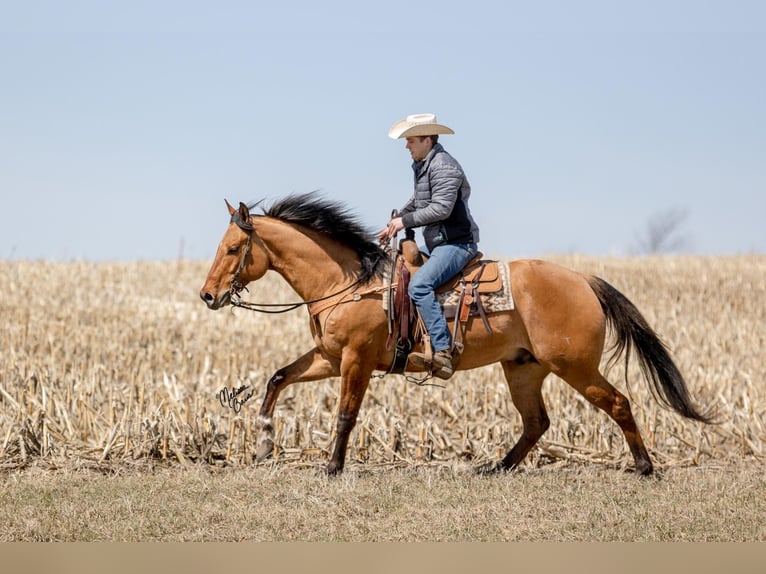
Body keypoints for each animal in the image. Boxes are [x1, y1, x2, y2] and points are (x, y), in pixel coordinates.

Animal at [200, 194, 712, 476]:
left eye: (234, 248)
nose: (207, 295)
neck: (350, 282)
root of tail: (584, 280)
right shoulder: (329, 356)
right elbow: (277, 378)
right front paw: (264, 443)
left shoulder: (356, 360)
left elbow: (346, 415)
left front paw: (331, 467)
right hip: (524, 369)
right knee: (536, 422)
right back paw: (496, 468)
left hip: (576, 368)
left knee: (619, 403)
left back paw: (645, 467)